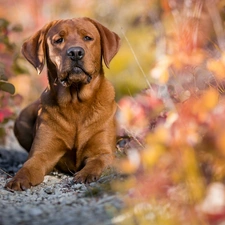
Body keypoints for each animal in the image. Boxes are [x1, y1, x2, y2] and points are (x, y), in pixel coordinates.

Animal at [4, 17, 119, 192]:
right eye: (59, 40)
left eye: (87, 37)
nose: (75, 52)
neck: (76, 102)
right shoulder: (41, 154)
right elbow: (28, 166)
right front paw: (18, 178)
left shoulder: (103, 152)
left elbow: (97, 162)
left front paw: (86, 174)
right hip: (20, 120)